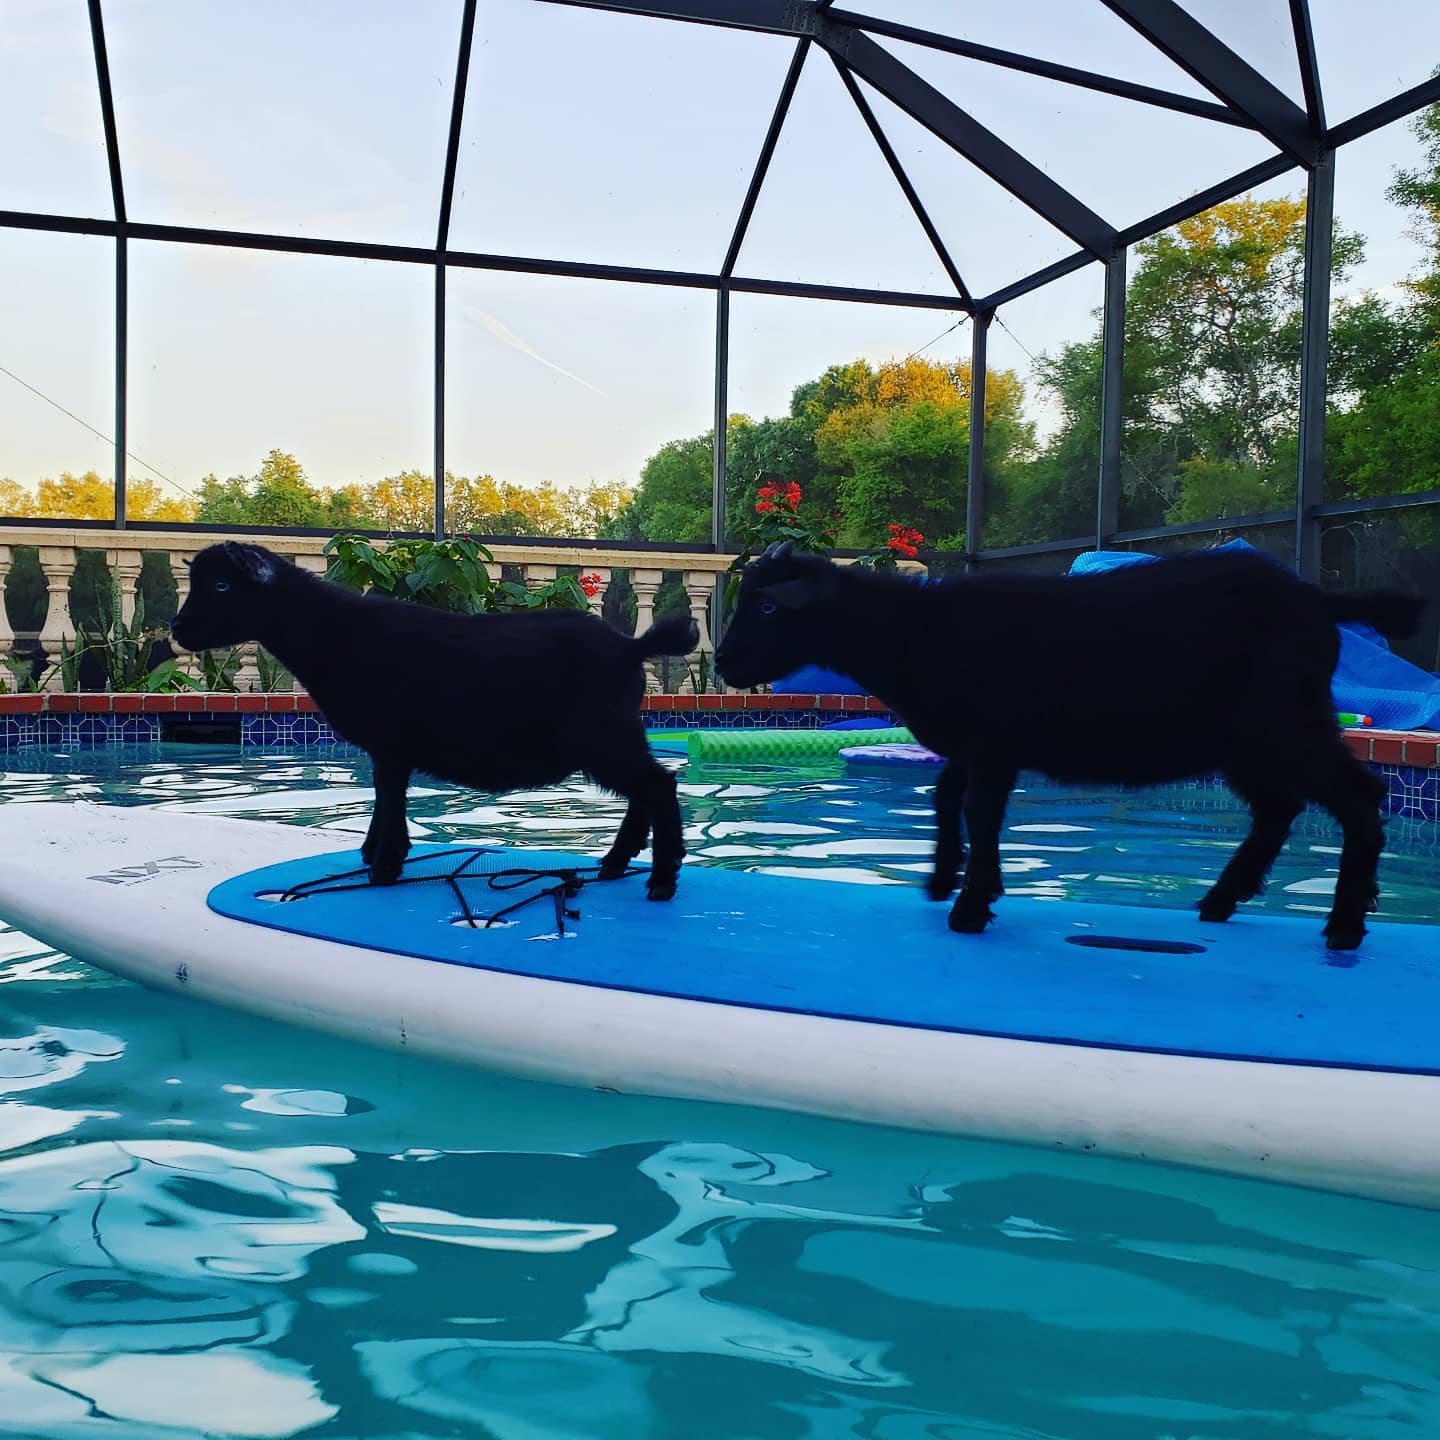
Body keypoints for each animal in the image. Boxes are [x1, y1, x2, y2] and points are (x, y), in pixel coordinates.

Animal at [171, 541, 699, 898]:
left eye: (222, 586)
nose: (176, 629)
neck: (329, 633)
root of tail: (630, 646)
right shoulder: (386, 750)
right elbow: (383, 801)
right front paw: (373, 857)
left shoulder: (389, 743)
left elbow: (390, 802)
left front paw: (384, 869)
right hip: (613, 735)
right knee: (645, 790)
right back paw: (615, 864)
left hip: (601, 735)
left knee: (657, 786)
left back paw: (661, 880)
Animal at [714, 541, 1422, 944]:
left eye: (770, 608)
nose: (721, 663)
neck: (913, 633)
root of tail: (1318, 601)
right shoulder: (973, 745)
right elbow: (946, 798)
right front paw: (943, 879)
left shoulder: (993, 743)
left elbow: (978, 810)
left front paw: (971, 906)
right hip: (1245, 739)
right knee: (1279, 809)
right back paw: (1220, 902)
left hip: (1283, 720)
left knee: (1359, 796)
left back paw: (1344, 926)